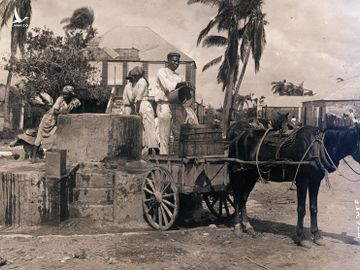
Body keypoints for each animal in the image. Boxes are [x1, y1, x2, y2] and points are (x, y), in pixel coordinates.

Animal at [228, 125, 360, 246]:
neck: (318, 147)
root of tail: (236, 138)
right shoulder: (302, 180)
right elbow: (301, 209)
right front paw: (301, 238)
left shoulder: (315, 180)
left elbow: (314, 208)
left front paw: (316, 235)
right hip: (237, 174)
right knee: (237, 198)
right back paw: (237, 227)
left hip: (251, 175)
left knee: (243, 198)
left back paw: (248, 226)